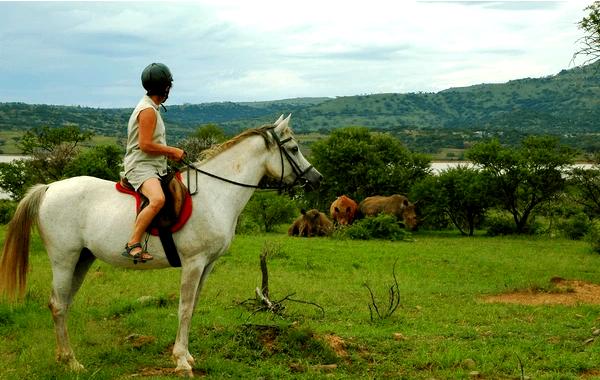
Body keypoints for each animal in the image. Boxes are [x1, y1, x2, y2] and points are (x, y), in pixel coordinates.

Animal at [0, 114, 322, 376]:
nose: (316, 179)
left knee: (63, 304)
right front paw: (180, 361)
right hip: (64, 259)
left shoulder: (207, 264)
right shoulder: (193, 262)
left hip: (82, 258)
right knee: (57, 304)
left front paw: (188, 356)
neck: (216, 192)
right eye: (294, 149)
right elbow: (184, 308)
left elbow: (192, 307)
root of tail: (48, 188)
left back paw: (64, 358)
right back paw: (72, 361)